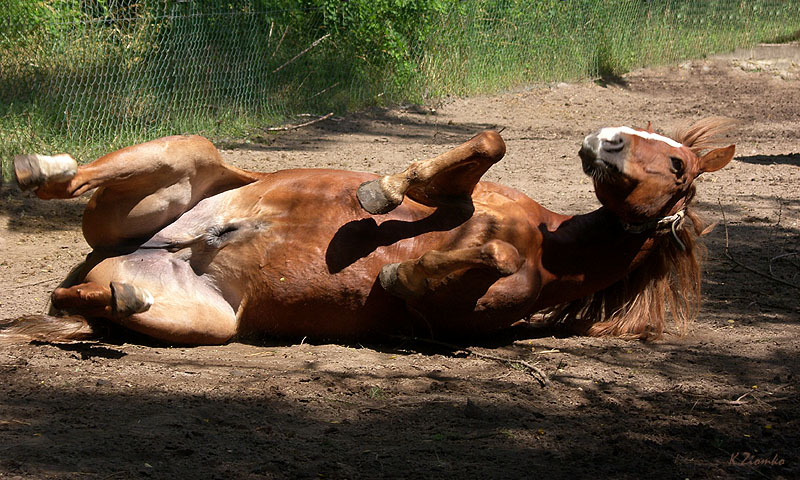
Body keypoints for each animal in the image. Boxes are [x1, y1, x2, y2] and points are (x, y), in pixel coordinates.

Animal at [3, 119, 736, 344]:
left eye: (678, 165)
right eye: (651, 138)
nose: (605, 139)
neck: (546, 243)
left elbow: (488, 257)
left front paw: (400, 271)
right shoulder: (468, 194)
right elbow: (485, 147)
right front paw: (386, 189)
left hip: (207, 322)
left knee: (75, 301)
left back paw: (119, 297)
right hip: (191, 155)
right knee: (68, 187)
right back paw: (38, 166)